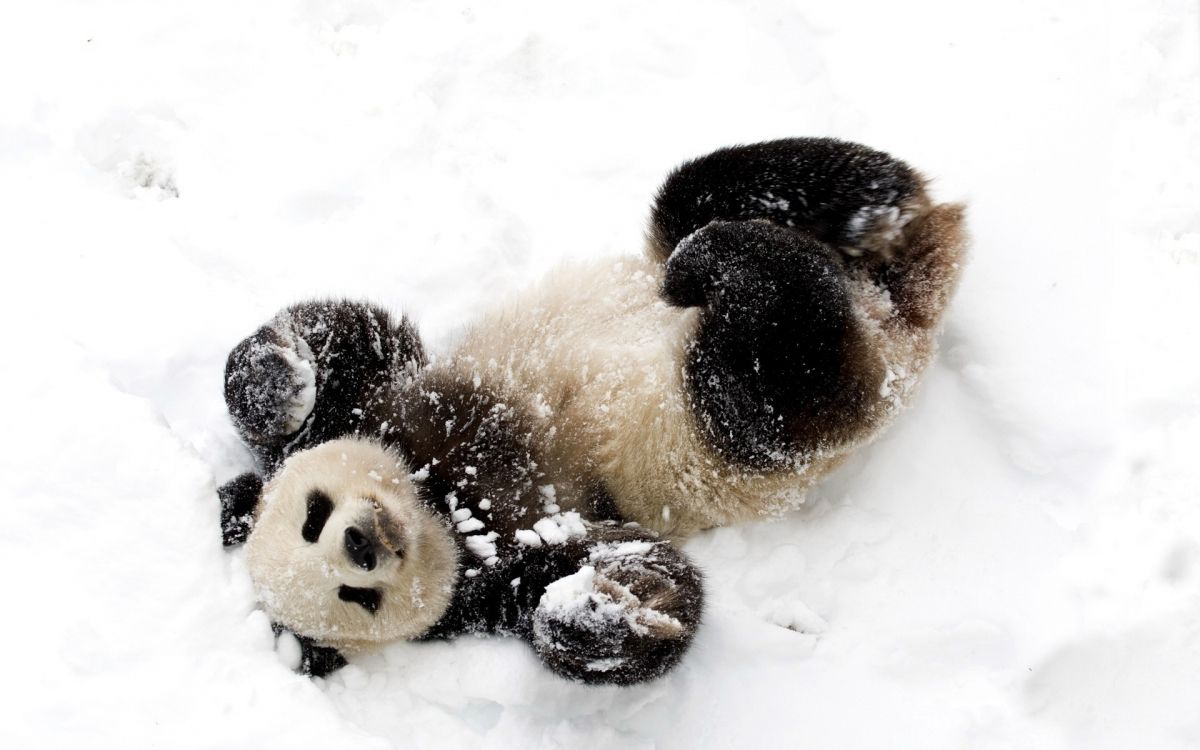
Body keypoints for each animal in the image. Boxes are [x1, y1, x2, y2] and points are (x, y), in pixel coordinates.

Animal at [216, 139, 964, 686]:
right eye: (356, 597)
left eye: (312, 516)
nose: (362, 544)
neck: (440, 498)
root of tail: (896, 311)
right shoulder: (498, 569)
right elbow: (641, 574)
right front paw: (596, 611)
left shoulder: (388, 404)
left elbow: (352, 338)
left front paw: (277, 382)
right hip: (747, 422)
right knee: (778, 368)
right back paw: (752, 262)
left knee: (705, 192)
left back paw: (856, 209)